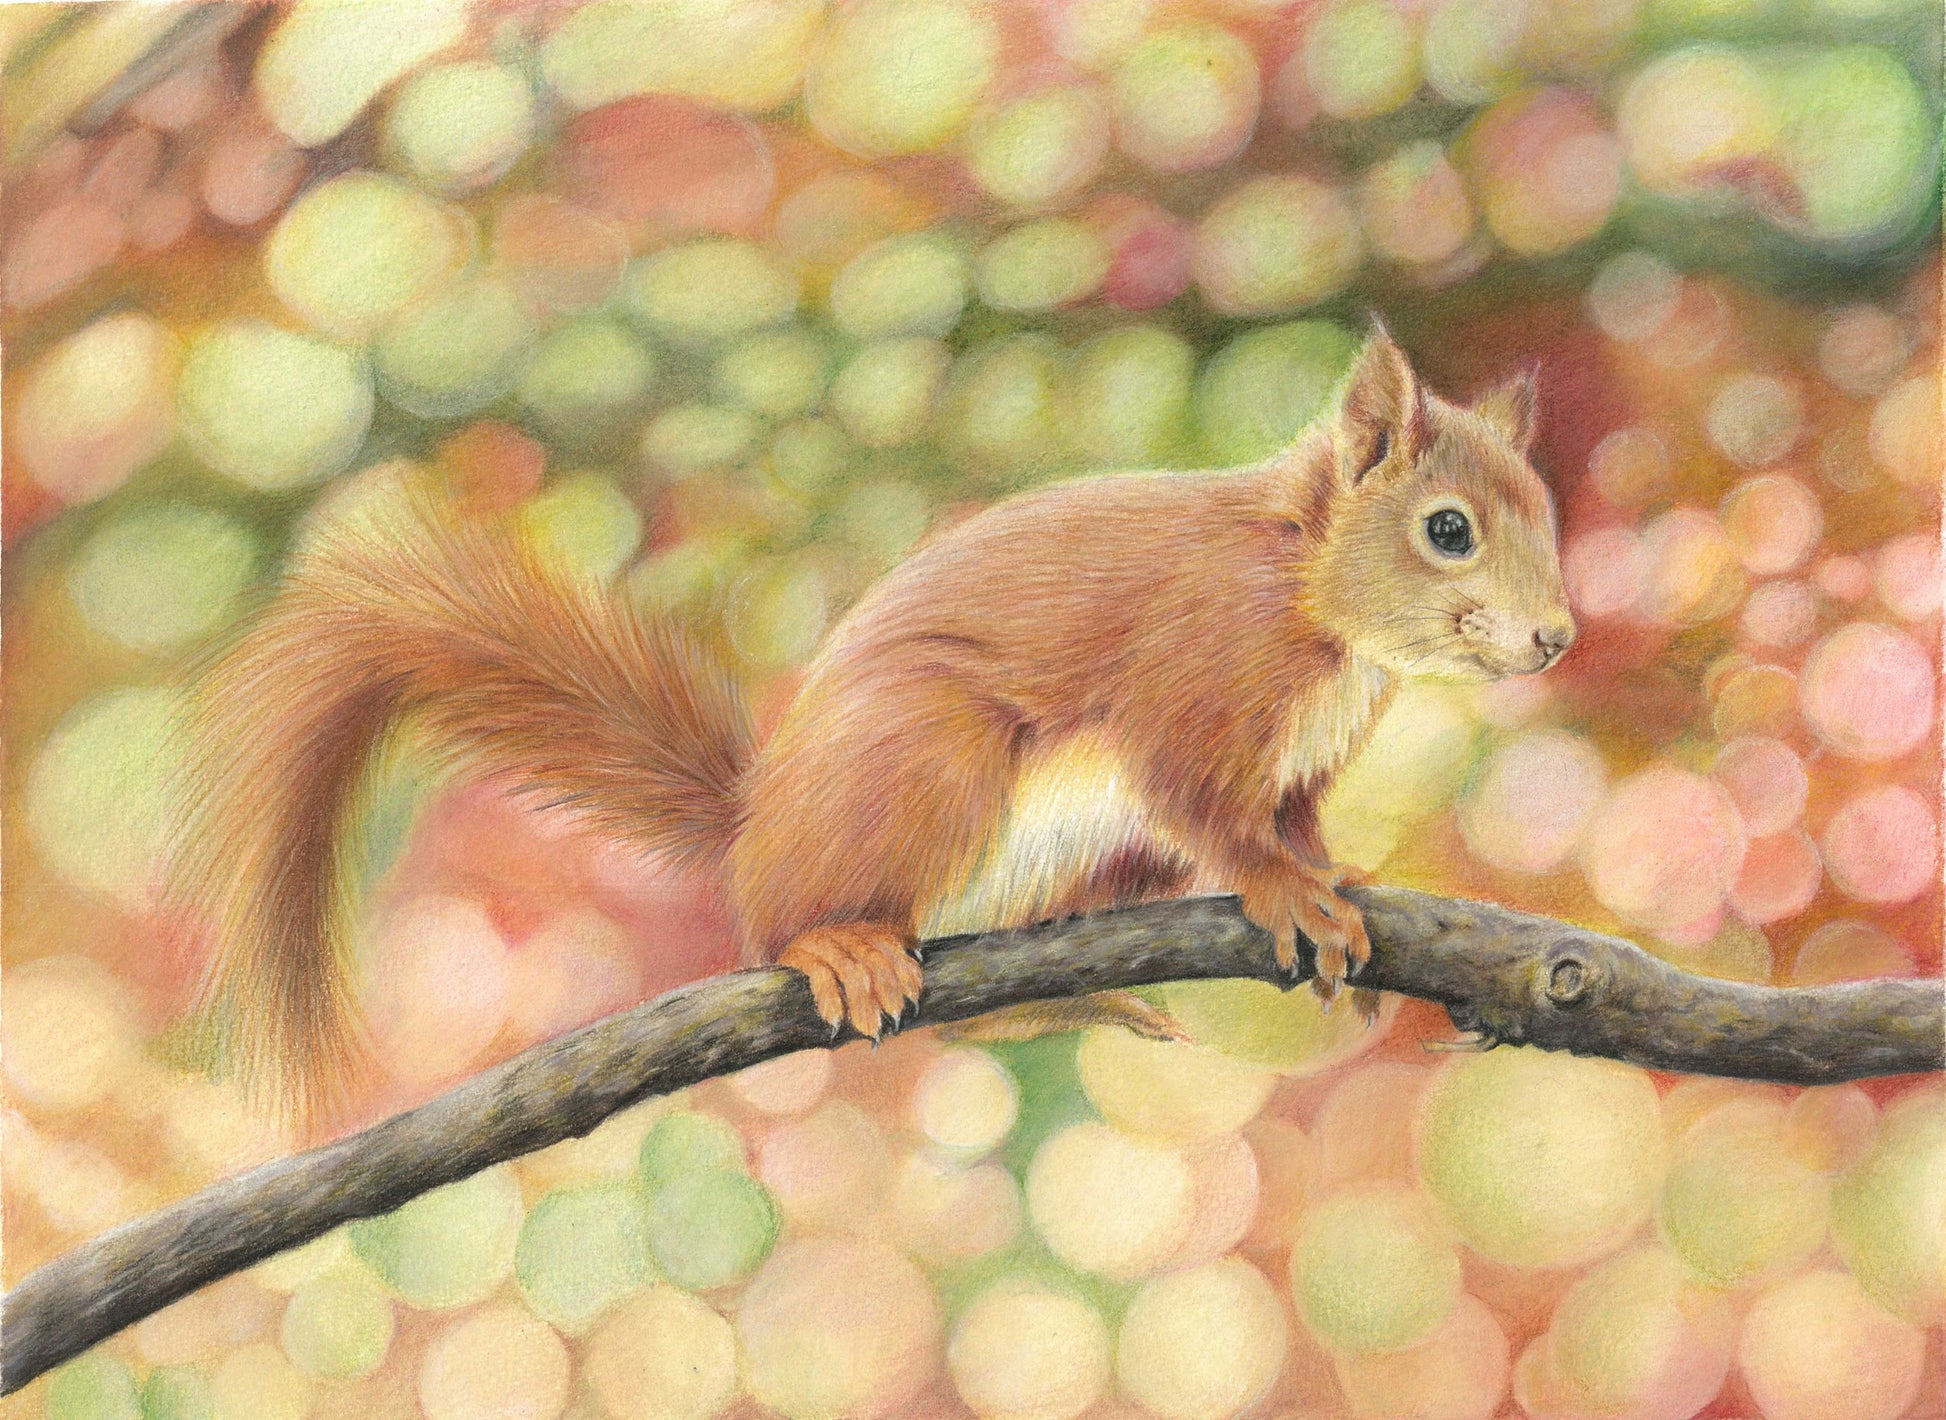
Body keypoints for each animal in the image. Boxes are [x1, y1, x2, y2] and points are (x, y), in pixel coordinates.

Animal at [169, 327, 1575, 1119]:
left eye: (1545, 510)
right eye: (1447, 530)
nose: (1557, 636)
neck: (1304, 592)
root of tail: (755, 823)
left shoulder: (1300, 760)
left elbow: (1292, 817)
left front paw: (1337, 875)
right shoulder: (1182, 682)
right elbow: (1206, 808)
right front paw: (1286, 893)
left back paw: (1067, 1001)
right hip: (927, 760)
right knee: (778, 921)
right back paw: (835, 945)